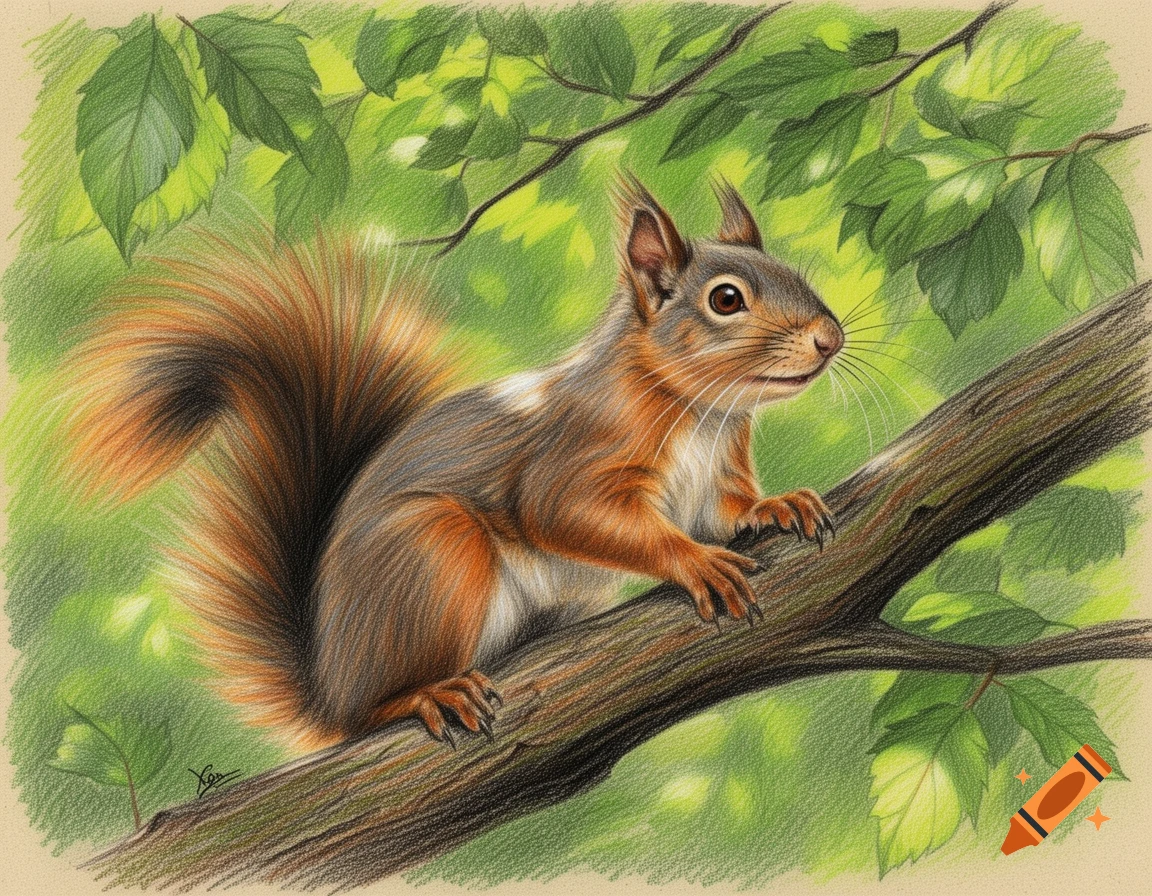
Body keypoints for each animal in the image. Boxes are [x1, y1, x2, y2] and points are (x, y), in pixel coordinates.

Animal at [64, 177, 843, 749]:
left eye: (794, 272)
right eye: (726, 300)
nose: (830, 338)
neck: (700, 413)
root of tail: (330, 679)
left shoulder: (716, 476)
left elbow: (728, 512)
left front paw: (779, 506)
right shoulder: (571, 458)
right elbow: (568, 513)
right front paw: (694, 562)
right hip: (432, 549)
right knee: (368, 710)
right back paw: (425, 694)